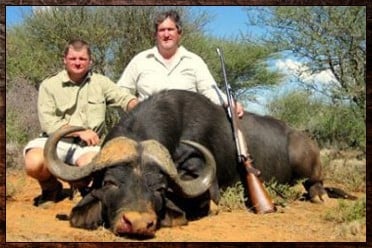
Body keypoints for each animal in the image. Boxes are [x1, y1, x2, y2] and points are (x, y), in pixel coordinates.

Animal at [43, 89, 352, 238]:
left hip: (307, 162)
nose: (139, 223)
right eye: (109, 183)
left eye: (160, 189)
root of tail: (299, 134)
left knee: (315, 183)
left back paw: (319, 195)